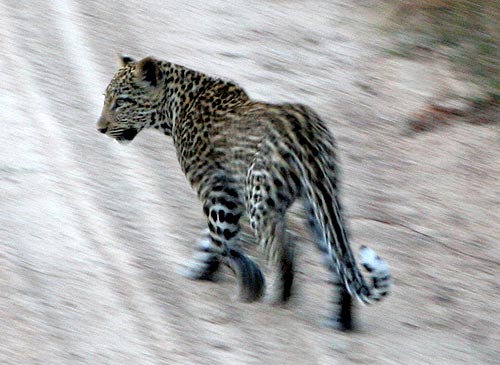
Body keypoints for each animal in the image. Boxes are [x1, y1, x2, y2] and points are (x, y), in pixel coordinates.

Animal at [96, 54, 390, 330]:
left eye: (121, 102)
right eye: (106, 98)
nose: (100, 128)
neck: (174, 107)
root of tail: (306, 132)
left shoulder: (217, 192)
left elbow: (220, 240)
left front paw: (245, 278)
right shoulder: (230, 194)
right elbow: (212, 241)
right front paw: (200, 269)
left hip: (262, 201)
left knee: (285, 250)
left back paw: (276, 302)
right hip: (318, 205)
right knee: (336, 260)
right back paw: (340, 321)